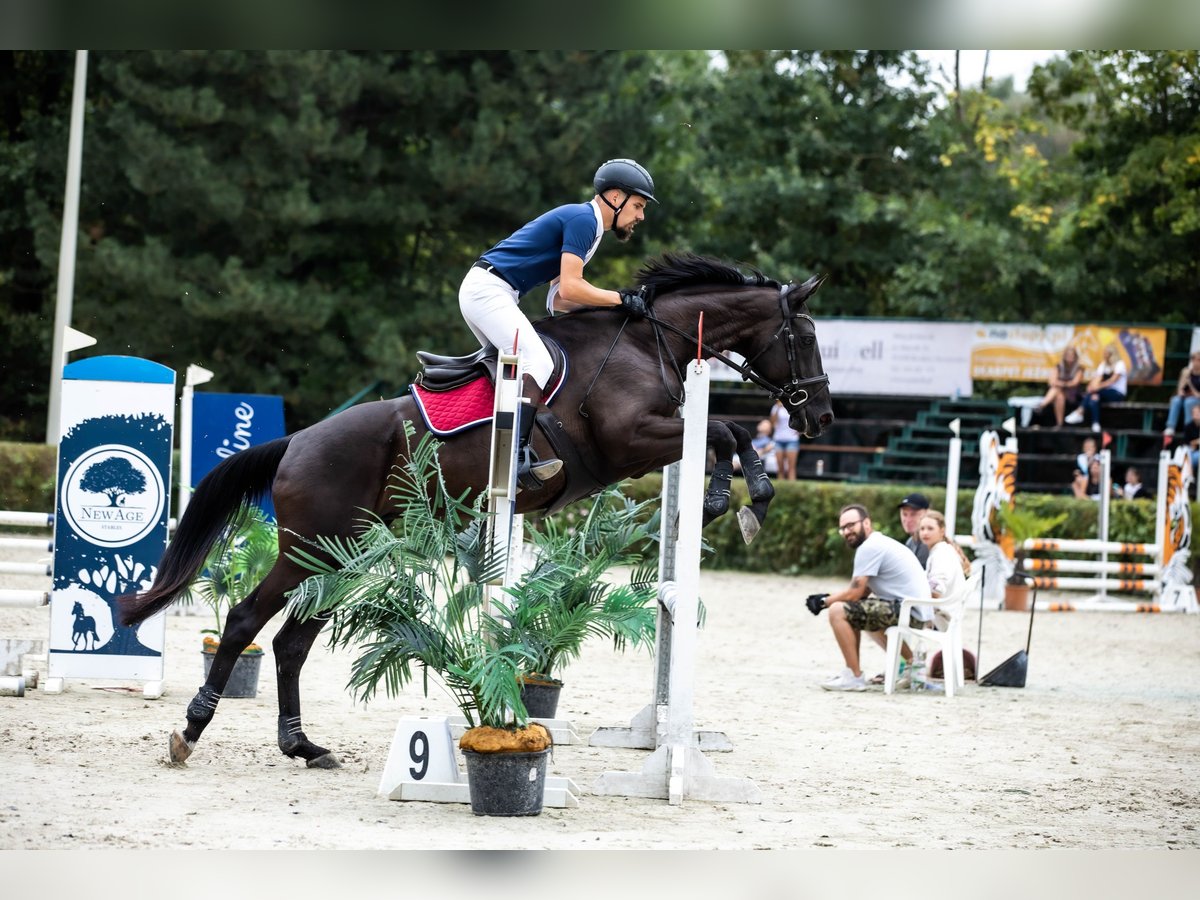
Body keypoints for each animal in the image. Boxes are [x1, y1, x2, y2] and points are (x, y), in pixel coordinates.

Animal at [119, 254, 835, 768]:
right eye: (804, 336)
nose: (821, 417)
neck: (644, 344)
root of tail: (297, 439)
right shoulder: (630, 442)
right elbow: (724, 431)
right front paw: (736, 498)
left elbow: (727, 434)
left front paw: (740, 499)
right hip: (309, 547)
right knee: (245, 621)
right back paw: (190, 732)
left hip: (344, 551)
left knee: (293, 640)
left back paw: (304, 747)